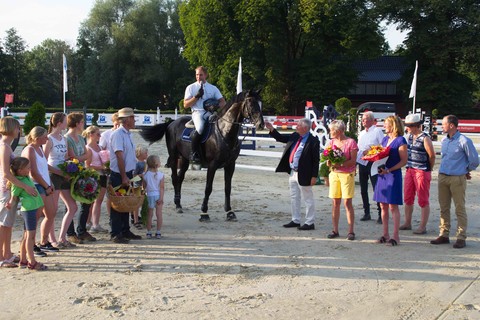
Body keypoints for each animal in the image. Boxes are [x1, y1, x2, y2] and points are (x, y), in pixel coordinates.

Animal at [141, 89, 264, 221]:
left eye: (260, 103)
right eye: (251, 103)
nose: (261, 124)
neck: (224, 132)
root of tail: (172, 122)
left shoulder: (230, 165)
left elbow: (228, 188)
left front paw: (229, 212)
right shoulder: (212, 165)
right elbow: (208, 188)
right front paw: (204, 213)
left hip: (184, 159)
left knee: (180, 178)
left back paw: (179, 204)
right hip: (174, 157)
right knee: (174, 178)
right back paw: (178, 206)